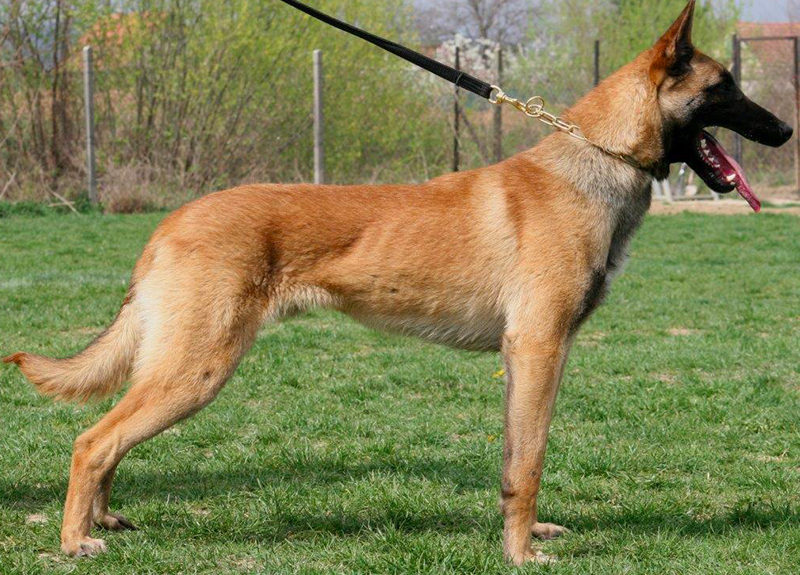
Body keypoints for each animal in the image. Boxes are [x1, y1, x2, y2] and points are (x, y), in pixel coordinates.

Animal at [4, 0, 793, 564]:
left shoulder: (524, 360)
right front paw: (520, 555)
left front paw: (525, 536)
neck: (597, 161)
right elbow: (532, 460)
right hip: (197, 368)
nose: (785, 130)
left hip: (177, 364)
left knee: (111, 439)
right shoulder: (540, 350)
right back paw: (75, 539)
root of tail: (169, 223)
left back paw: (105, 517)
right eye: (725, 88)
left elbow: (513, 462)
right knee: (92, 440)